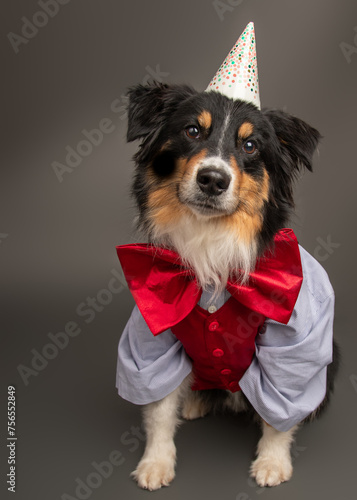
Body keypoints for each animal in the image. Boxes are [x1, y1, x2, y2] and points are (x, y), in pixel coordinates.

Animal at [115, 81, 338, 488]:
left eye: (250, 146)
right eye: (192, 130)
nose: (213, 179)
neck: (211, 245)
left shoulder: (295, 340)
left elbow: (279, 410)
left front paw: (272, 462)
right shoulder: (152, 334)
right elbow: (158, 408)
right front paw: (156, 462)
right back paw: (196, 401)